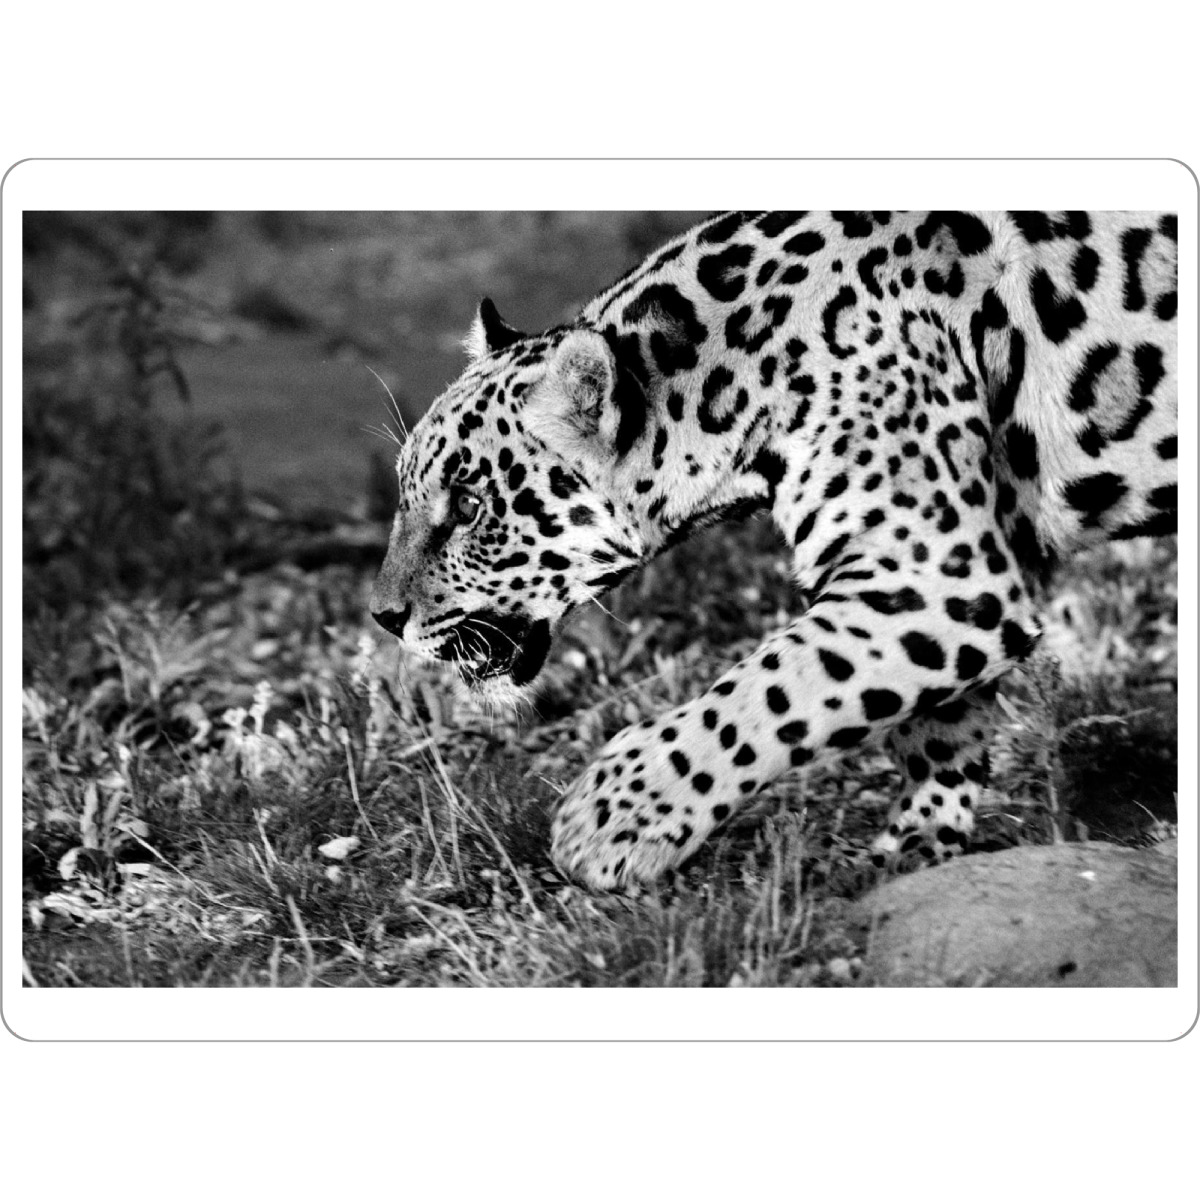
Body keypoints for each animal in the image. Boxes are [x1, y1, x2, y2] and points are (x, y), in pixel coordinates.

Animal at [370, 211, 1178, 892]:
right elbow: (939, 725)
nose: (383, 617)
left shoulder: (936, 580)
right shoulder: (953, 571)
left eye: (468, 507)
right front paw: (918, 842)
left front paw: (608, 820)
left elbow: (771, 688)